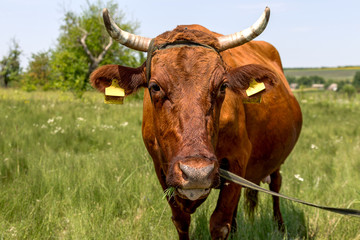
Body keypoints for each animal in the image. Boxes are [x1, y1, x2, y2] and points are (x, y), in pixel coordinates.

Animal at [89, 7, 300, 240]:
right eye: (155, 86)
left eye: (223, 86)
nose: (197, 173)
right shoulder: (161, 167)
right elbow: (181, 220)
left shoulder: (238, 158)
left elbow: (219, 224)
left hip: (276, 159)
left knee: (276, 185)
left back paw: (280, 227)